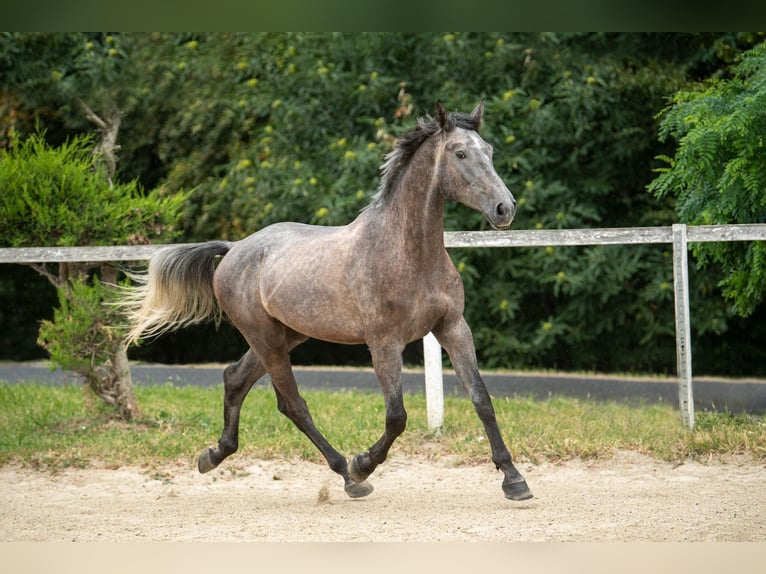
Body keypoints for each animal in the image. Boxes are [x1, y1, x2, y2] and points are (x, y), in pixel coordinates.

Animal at [123, 101, 536, 502]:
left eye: (490, 150)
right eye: (460, 153)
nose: (505, 208)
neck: (408, 254)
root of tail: (234, 248)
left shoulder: (452, 328)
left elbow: (481, 399)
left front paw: (514, 480)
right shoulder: (384, 343)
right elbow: (396, 416)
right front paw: (362, 464)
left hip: (287, 334)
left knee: (235, 379)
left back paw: (213, 455)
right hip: (265, 337)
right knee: (292, 404)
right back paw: (348, 476)